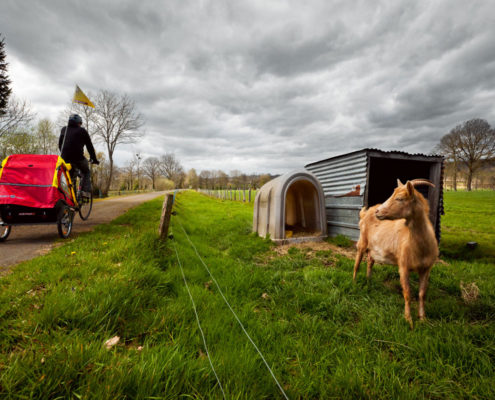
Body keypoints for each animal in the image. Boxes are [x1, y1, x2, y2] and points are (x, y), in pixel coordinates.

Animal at [354, 180, 440, 326]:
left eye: (400, 198)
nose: (378, 211)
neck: (421, 246)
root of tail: (365, 212)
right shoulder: (403, 266)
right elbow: (407, 293)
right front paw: (409, 320)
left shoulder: (426, 268)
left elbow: (422, 293)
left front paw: (422, 318)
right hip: (362, 242)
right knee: (357, 263)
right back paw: (354, 282)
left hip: (373, 248)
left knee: (370, 261)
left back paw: (368, 281)